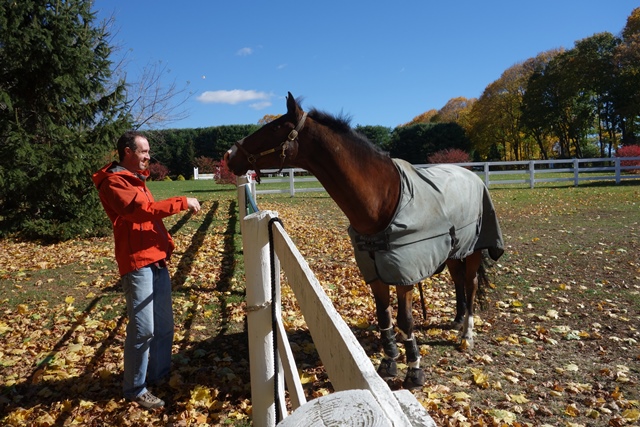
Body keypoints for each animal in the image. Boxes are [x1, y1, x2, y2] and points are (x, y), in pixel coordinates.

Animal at [224, 93, 504, 389]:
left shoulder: (404, 274)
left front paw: (414, 370)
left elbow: (405, 320)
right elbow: (384, 316)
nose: (229, 156)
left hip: (473, 250)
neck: (383, 199)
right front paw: (389, 362)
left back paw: (467, 335)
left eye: (274, 128)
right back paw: (457, 320)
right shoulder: (375, 272)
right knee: (458, 281)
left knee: (471, 285)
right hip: (454, 251)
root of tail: (472, 174)